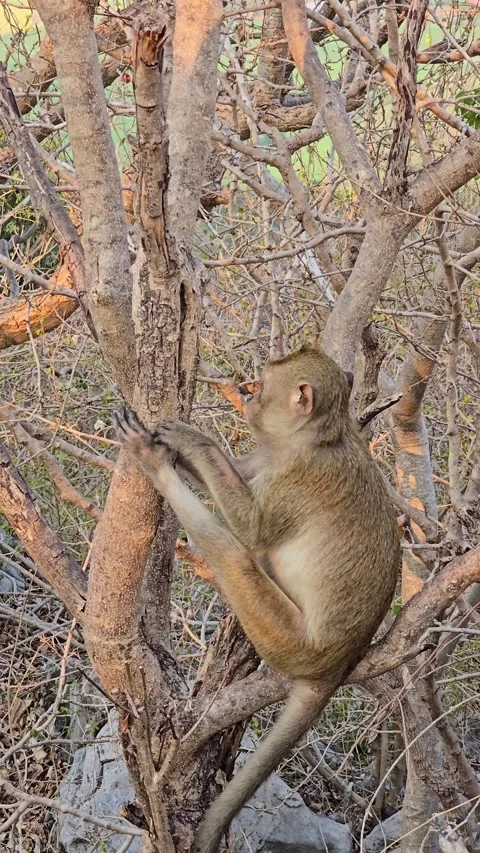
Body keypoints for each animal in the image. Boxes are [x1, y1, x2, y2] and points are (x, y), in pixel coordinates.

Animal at [113, 347, 400, 853]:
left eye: (263, 386)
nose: (246, 394)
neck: (316, 439)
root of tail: (338, 665)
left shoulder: (295, 482)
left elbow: (249, 527)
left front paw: (182, 442)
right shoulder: (268, 458)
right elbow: (230, 472)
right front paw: (180, 445)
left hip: (289, 639)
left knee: (234, 552)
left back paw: (155, 468)